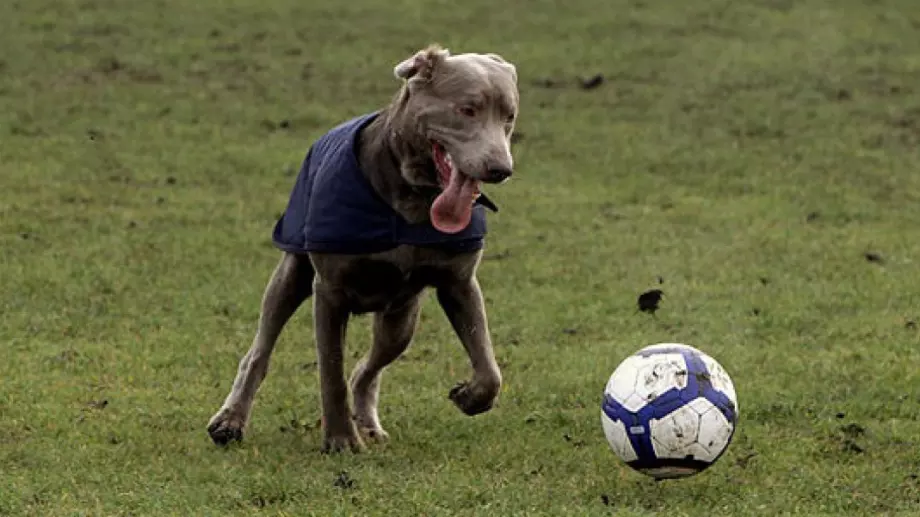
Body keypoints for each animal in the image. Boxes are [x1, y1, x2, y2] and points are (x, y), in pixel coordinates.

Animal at [206, 44, 520, 452]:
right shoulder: (330, 291)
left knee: (366, 370)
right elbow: (331, 370)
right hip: (291, 274)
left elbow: (489, 369)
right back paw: (230, 420)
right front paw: (341, 440)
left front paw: (467, 396)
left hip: (401, 318)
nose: (500, 169)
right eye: (467, 109)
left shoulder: (459, 283)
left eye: (509, 116)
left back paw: (369, 425)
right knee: (261, 348)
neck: (413, 198)